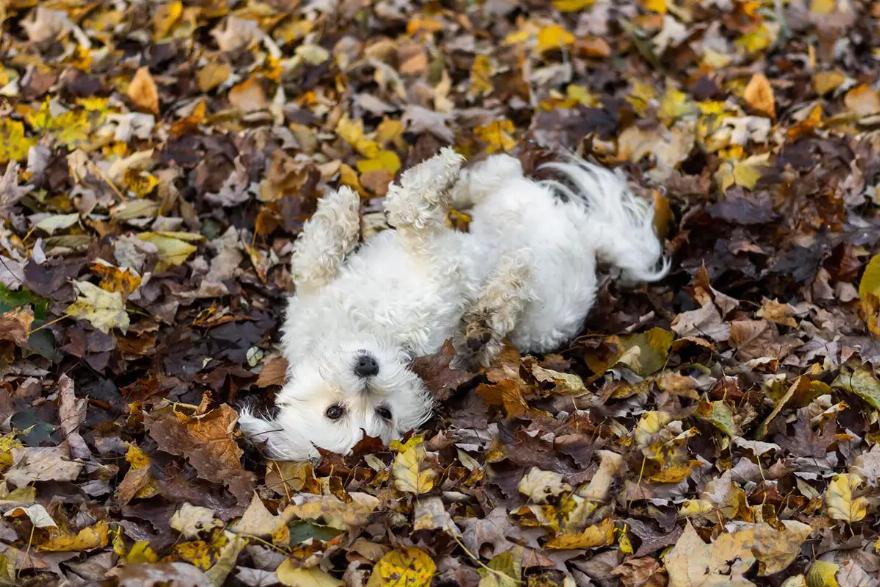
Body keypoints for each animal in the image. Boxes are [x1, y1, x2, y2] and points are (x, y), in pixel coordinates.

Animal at [239, 149, 668, 460]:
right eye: (337, 412)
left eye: (380, 412)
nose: (366, 368)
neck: (364, 327)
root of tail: (585, 239)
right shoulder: (439, 273)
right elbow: (406, 219)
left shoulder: (329, 289)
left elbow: (319, 255)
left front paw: (341, 211)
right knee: (506, 200)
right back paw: (499, 289)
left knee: (500, 174)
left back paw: (457, 183)